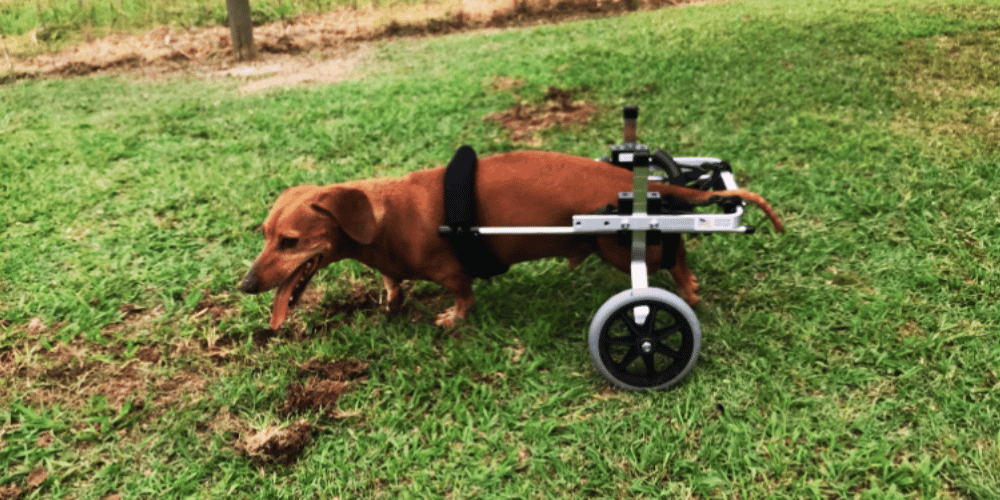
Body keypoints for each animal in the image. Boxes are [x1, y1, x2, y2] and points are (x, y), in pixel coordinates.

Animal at [240, 150, 780, 330]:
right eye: (265, 235)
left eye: (289, 241)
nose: (245, 285)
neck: (382, 217)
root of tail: (631, 181)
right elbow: (393, 283)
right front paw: (391, 300)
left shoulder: (452, 271)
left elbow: (463, 294)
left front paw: (454, 318)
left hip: (618, 243)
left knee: (674, 251)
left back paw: (685, 286)